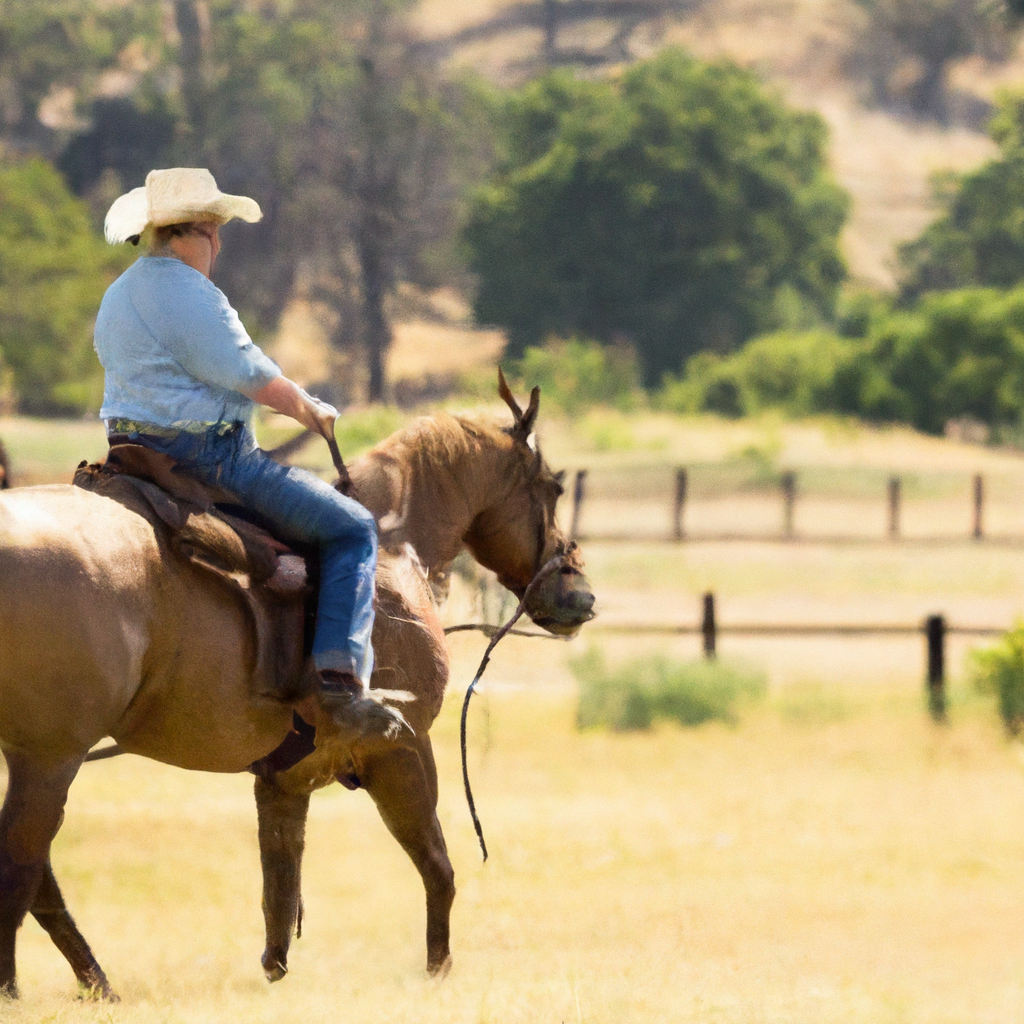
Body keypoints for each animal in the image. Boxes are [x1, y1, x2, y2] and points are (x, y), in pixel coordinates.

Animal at [0, 380, 593, 995]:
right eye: (552, 487)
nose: (582, 595)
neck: (396, 554)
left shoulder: (287, 779)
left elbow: (280, 891)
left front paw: (276, 973)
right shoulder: (402, 750)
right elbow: (437, 866)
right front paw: (438, 970)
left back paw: (96, 986)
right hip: (51, 757)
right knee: (22, 864)